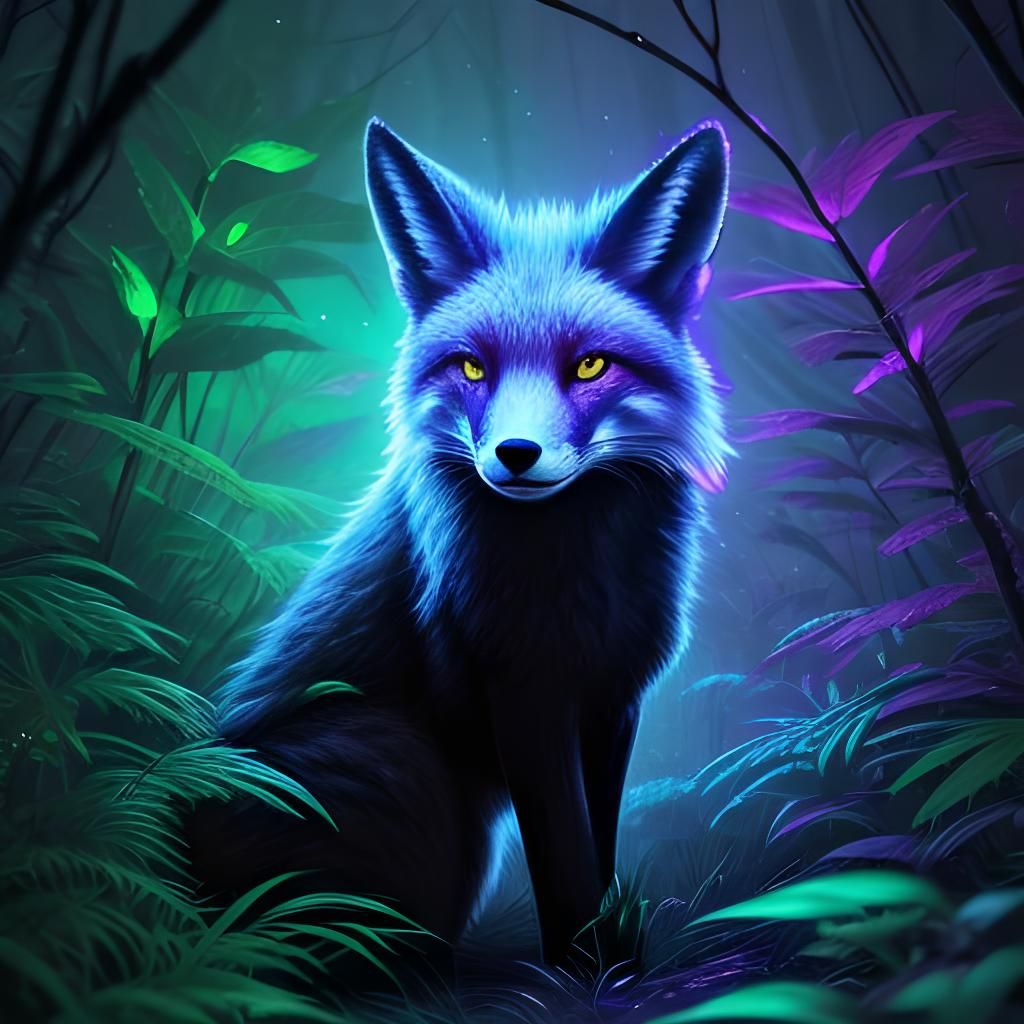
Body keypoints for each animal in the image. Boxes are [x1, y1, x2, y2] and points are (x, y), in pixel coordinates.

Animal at [185, 117, 730, 967]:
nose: (515, 454)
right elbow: (565, 856)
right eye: (472, 367)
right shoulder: (522, 689)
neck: (581, 571)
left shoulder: (614, 696)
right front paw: (585, 963)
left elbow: (600, 842)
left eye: (590, 366)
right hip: (406, 766)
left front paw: (615, 955)